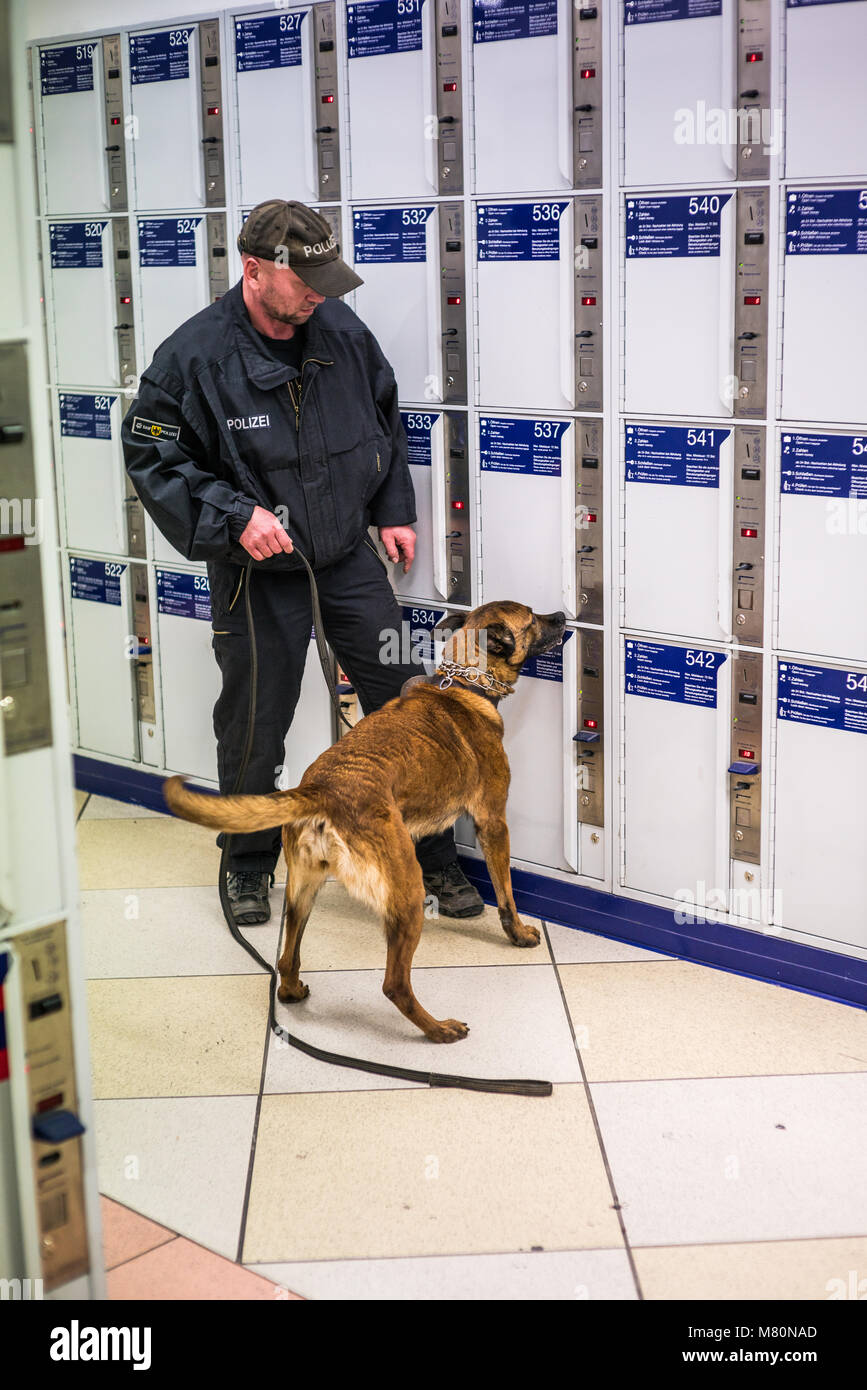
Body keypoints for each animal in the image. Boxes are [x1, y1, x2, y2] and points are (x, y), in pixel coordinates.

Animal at [162, 600, 569, 1045]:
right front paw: (519, 934)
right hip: (407, 892)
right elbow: (507, 895)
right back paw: (438, 1029)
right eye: (532, 618)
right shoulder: (493, 822)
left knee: (288, 957)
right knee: (394, 984)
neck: (464, 682)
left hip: (304, 891)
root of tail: (321, 790)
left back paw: (291, 990)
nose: (563, 617)